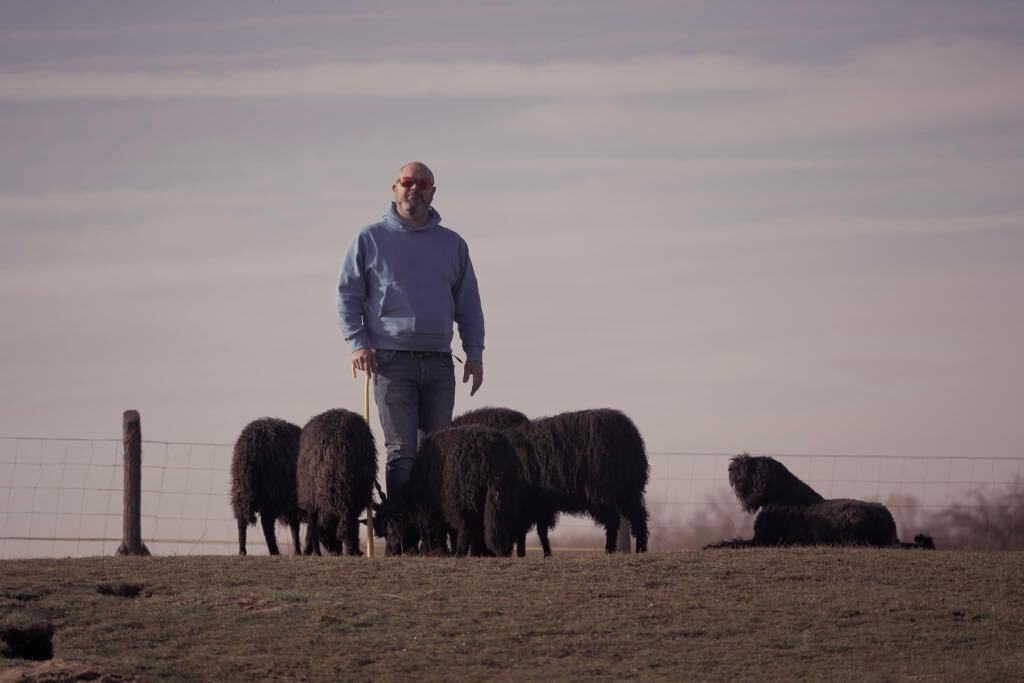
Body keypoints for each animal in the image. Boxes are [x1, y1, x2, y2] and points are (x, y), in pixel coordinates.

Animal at [233, 417, 305, 557]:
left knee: (241, 517)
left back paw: (242, 550)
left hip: (241, 488)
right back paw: (275, 551)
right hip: (274, 492)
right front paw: (299, 551)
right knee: (266, 520)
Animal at [374, 423, 520, 557]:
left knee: (466, 527)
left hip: (461, 500)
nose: (388, 552)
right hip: (504, 496)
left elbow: (440, 528)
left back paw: (460, 553)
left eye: (391, 526)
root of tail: (490, 453)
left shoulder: (434, 509)